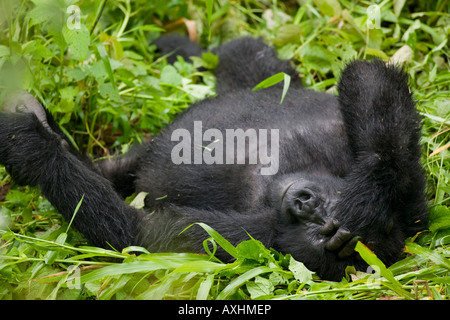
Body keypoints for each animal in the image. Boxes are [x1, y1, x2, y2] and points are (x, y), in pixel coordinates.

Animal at [0, 35, 428, 280]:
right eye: (323, 209)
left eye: (321, 230)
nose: (305, 203)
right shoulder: (399, 178)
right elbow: (369, 84)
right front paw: (367, 196)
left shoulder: (253, 238)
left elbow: (141, 235)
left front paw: (31, 150)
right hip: (270, 83)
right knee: (249, 60)